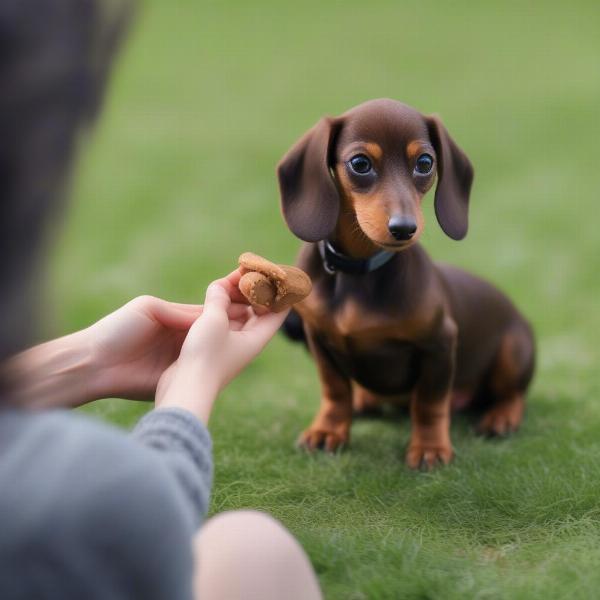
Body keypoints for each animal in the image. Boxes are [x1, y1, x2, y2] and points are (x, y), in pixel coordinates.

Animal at [276, 99, 536, 468]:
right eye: (360, 163)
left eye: (425, 162)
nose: (404, 228)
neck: (359, 272)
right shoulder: (318, 338)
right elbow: (335, 390)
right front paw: (328, 431)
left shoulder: (440, 342)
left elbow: (428, 403)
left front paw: (429, 448)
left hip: (514, 350)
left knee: (514, 394)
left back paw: (501, 417)